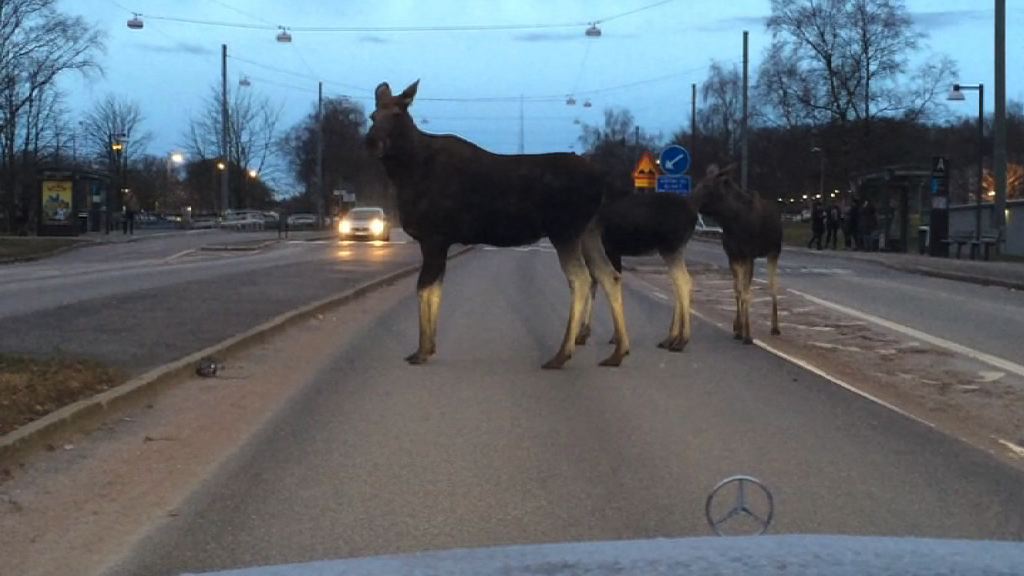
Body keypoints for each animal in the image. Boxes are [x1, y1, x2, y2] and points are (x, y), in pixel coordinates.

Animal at [364, 79, 626, 366]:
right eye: (373, 115)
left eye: (397, 114)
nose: (371, 142)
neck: (405, 174)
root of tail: (602, 181)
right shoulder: (440, 242)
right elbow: (436, 291)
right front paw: (430, 346)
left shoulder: (433, 238)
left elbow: (423, 289)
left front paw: (422, 350)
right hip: (589, 231)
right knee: (608, 275)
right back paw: (618, 351)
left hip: (565, 231)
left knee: (581, 279)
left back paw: (562, 354)